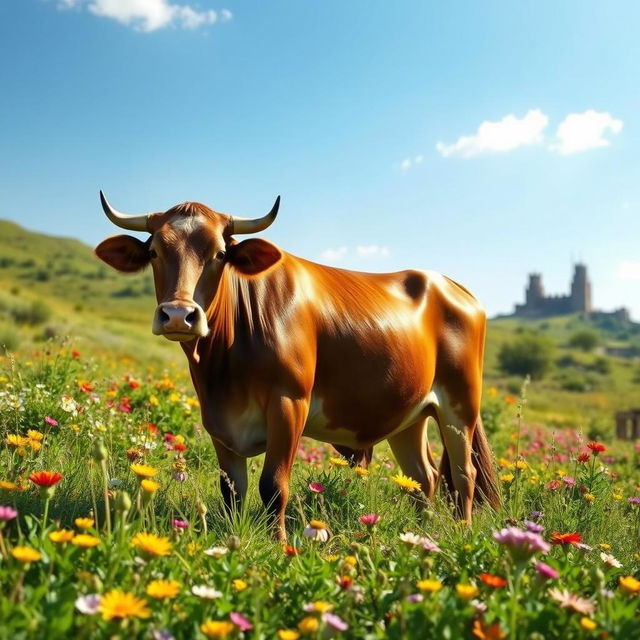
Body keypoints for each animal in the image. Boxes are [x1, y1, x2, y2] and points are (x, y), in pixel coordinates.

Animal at [96, 192, 500, 536]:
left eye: (220, 253)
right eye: (154, 251)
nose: (179, 315)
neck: (223, 370)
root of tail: (452, 286)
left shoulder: (290, 402)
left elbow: (273, 485)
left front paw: (278, 545)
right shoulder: (217, 419)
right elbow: (232, 492)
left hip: (460, 405)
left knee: (464, 475)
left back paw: (460, 533)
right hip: (408, 413)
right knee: (423, 478)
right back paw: (420, 535)